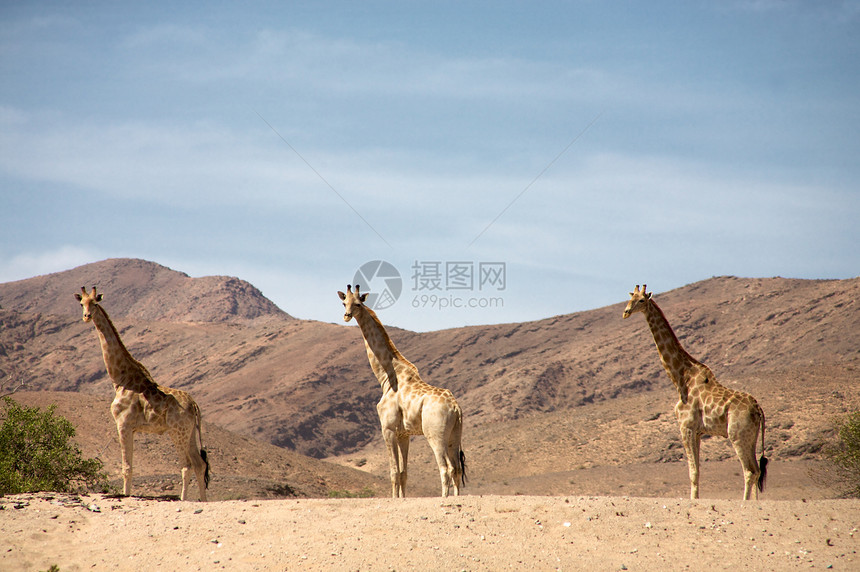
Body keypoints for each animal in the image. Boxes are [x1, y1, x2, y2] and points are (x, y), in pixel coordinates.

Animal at [77, 286, 212, 500]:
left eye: (95, 303)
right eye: (82, 303)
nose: (86, 316)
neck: (120, 379)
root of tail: (195, 405)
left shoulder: (123, 424)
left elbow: (127, 468)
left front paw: (125, 495)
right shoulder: (131, 427)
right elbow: (129, 466)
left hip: (177, 432)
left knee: (187, 466)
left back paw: (184, 499)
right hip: (189, 432)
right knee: (200, 464)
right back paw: (203, 501)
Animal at [338, 284, 466, 496]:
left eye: (358, 304)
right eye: (344, 302)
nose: (346, 315)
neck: (387, 376)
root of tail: (456, 408)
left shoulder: (387, 429)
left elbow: (393, 472)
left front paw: (394, 498)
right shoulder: (404, 434)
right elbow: (403, 473)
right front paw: (402, 498)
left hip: (435, 434)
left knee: (445, 468)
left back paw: (444, 498)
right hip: (455, 435)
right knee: (456, 468)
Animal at [624, 286, 764, 500]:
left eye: (641, 300)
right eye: (630, 298)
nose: (625, 312)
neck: (681, 378)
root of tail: (758, 409)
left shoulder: (686, 427)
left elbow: (693, 472)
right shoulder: (698, 431)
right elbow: (697, 470)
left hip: (737, 435)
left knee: (749, 471)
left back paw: (744, 503)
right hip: (751, 437)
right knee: (757, 470)